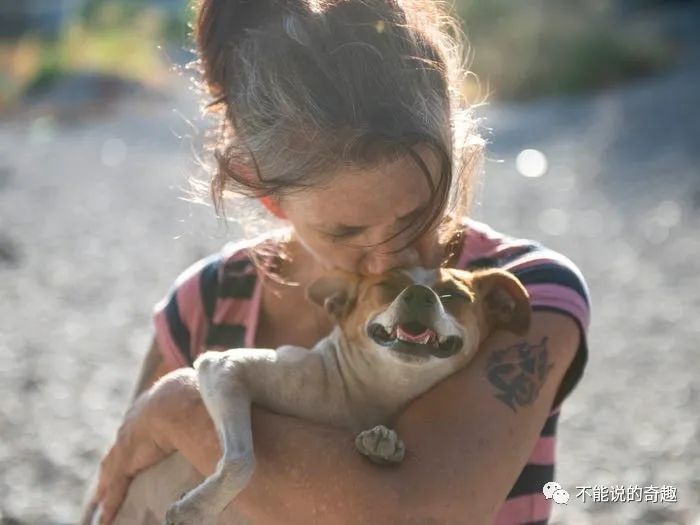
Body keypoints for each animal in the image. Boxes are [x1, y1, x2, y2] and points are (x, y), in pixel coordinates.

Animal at [108, 266, 532, 524]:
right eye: (387, 285)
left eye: (452, 294)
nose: (418, 294)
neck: (373, 390)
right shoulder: (224, 367)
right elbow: (242, 459)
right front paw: (197, 508)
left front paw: (382, 443)